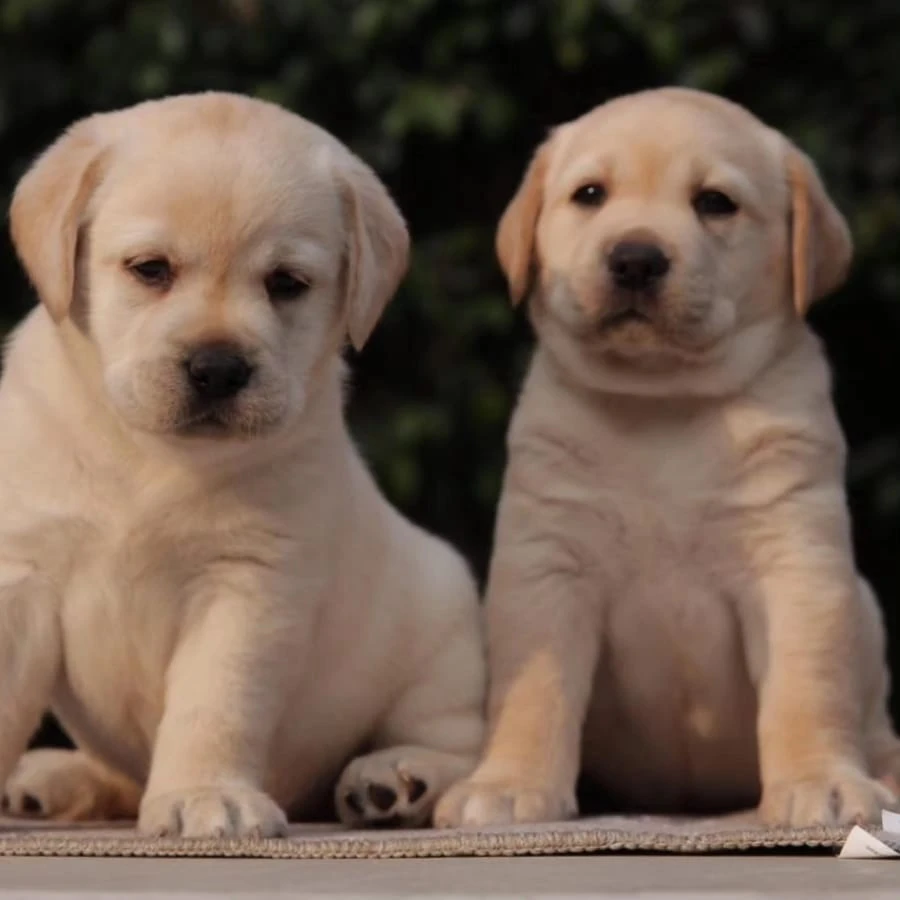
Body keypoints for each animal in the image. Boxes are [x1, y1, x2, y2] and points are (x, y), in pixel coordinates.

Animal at [0, 91, 486, 836]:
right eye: (150, 269)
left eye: (286, 283)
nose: (218, 368)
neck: (150, 454)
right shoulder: (22, 574)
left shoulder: (248, 587)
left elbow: (214, 706)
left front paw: (204, 794)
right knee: (116, 777)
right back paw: (51, 779)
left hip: (443, 629)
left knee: (455, 741)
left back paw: (396, 778)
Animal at [436, 88, 900, 828]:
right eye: (590, 195)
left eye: (715, 202)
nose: (635, 259)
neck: (664, 406)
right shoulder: (546, 568)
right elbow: (531, 690)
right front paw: (506, 784)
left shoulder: (796, 563)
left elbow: (809, 684)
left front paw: (823, 780)